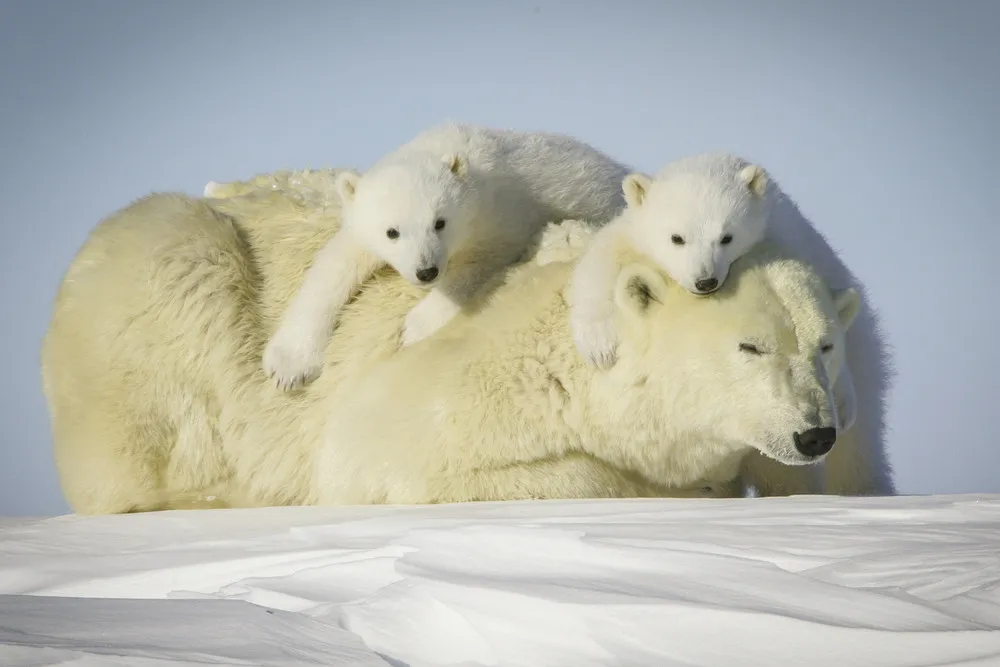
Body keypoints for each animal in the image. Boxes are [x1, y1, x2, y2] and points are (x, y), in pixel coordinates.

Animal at [40, 176, 859, 514]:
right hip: (166, 279)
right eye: (750, 346)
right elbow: (393, 457)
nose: (815, 432)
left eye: (824, 346)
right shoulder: (458, 380)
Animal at [260, 121, 631, 391]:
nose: (426, 271)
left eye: (439, 222)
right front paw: (288, 366)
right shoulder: (361, 227)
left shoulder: (500, 215)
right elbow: (334, 266)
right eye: (392, 232)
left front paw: (413, 327)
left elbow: (476, 265)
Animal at [568, 153, 895, 496]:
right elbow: (601, 262)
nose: (705, 281)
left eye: (726, 237)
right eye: (677, 238)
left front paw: (841, 400)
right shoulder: (631, 233)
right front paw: (600, 346)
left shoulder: (783, 238)